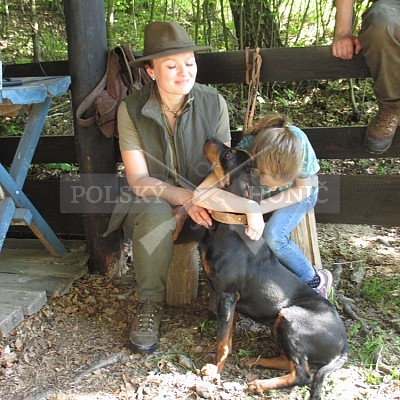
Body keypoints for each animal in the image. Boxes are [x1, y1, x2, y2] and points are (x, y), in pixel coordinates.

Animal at [198, 138, 348, 400]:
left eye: (228, 154)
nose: (209, 138)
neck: (230, 225)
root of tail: (344, 346)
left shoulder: (226, 295)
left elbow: (222, 341)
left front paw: (215, 370)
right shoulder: (230, 301)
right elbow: (229, 334)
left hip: (290, 319)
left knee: (303, 374)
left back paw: (260, 383)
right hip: (280, 327)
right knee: (289, 362)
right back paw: (256, 361)